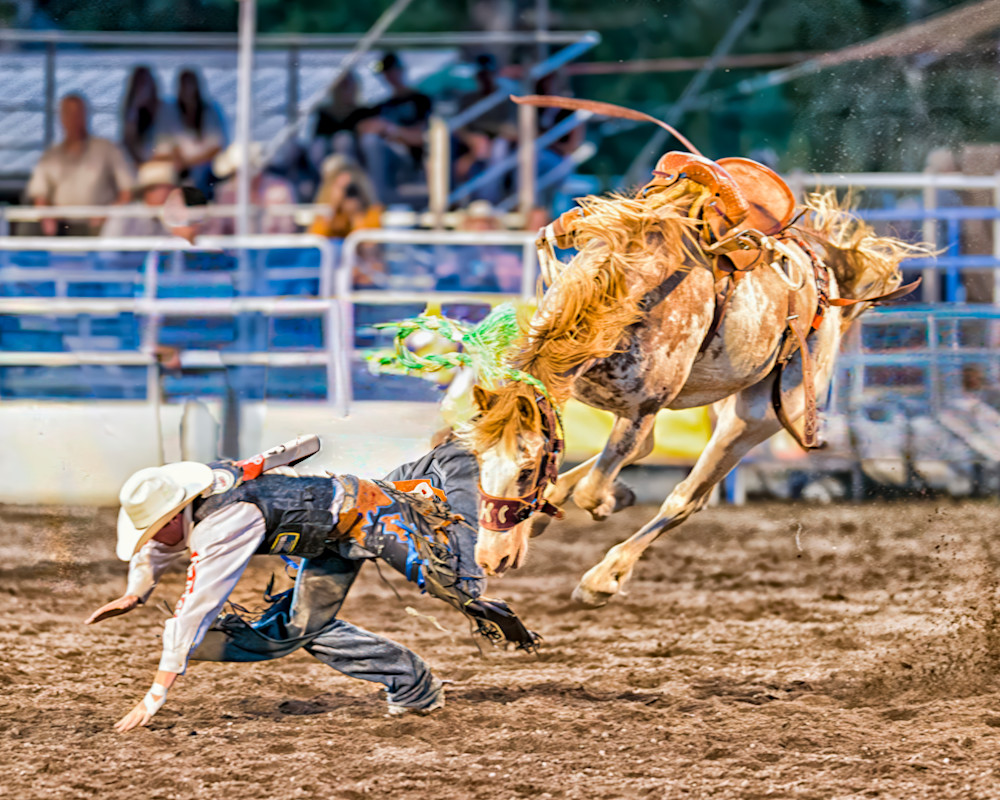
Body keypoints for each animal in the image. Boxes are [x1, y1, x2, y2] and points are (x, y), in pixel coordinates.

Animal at [462, 179, 927, 606]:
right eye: (479, 462)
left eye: (527, 470)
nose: (491, 561)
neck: (627, 291)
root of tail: (826, 272)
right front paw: (579, 498)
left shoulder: (643, 408)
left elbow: (595, 490)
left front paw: (602, 504)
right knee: (651, 454)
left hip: (757, 415)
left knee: (685, 499)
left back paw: (603, 577)